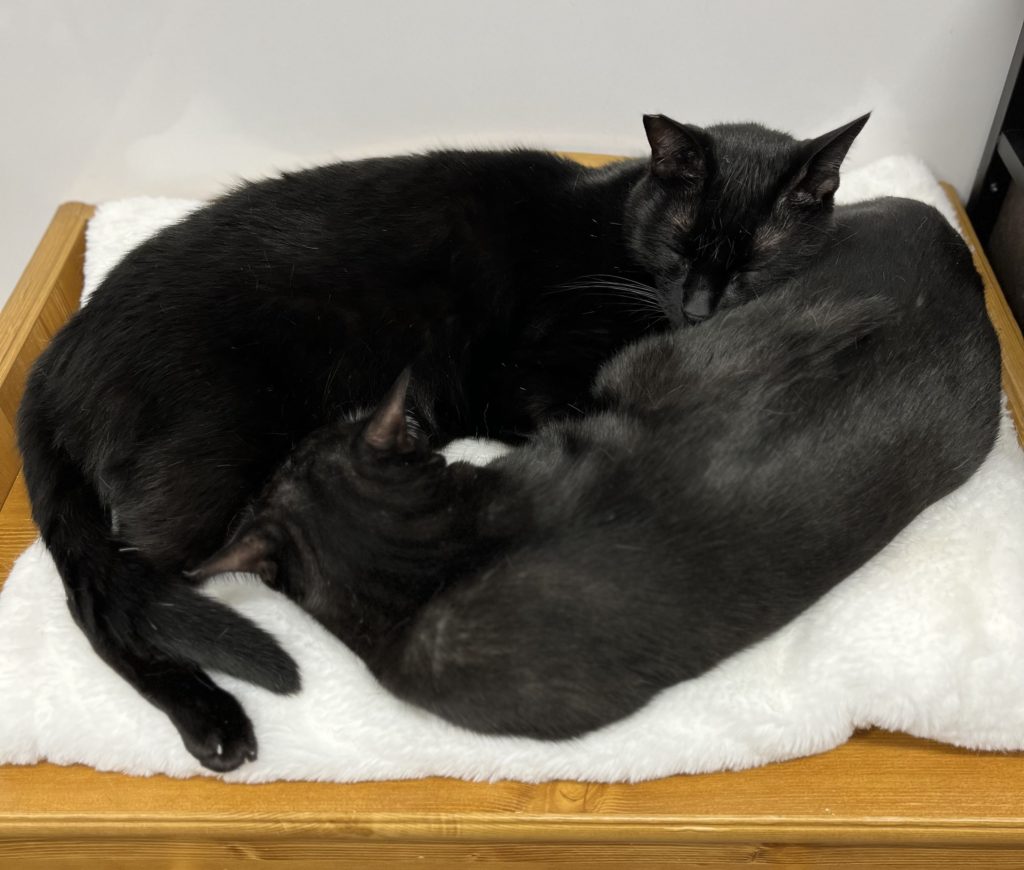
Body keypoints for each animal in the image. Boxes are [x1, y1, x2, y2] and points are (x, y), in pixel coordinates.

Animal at [18, 112, 874, 770]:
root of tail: (56, 357)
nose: (702, 307)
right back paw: (212, 719)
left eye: (759, 259)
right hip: (210, 468)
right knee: (111, 601)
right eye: (681, 242)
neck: (616, 231)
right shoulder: (522, 380)